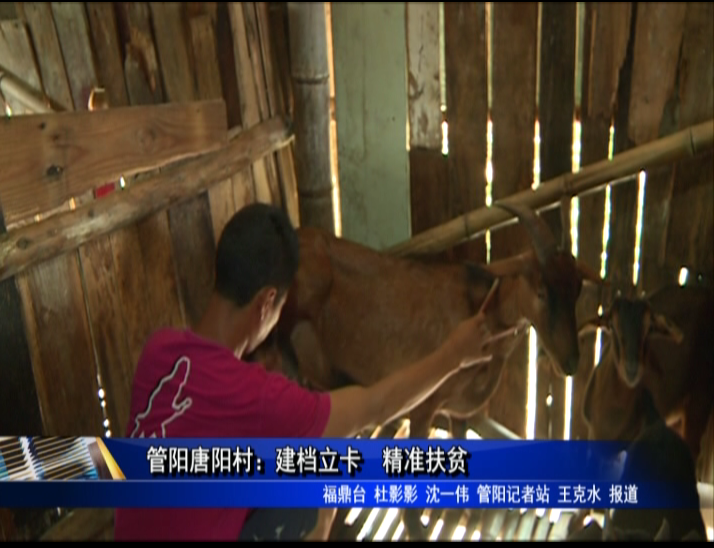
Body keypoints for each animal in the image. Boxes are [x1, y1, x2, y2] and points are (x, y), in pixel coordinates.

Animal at [253, 202, 604, 540]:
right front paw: (417, 528)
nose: (571, 362)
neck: (482, 311)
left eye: (577, 290)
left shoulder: (461, 412)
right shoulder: (424, 405)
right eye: (542, 292)